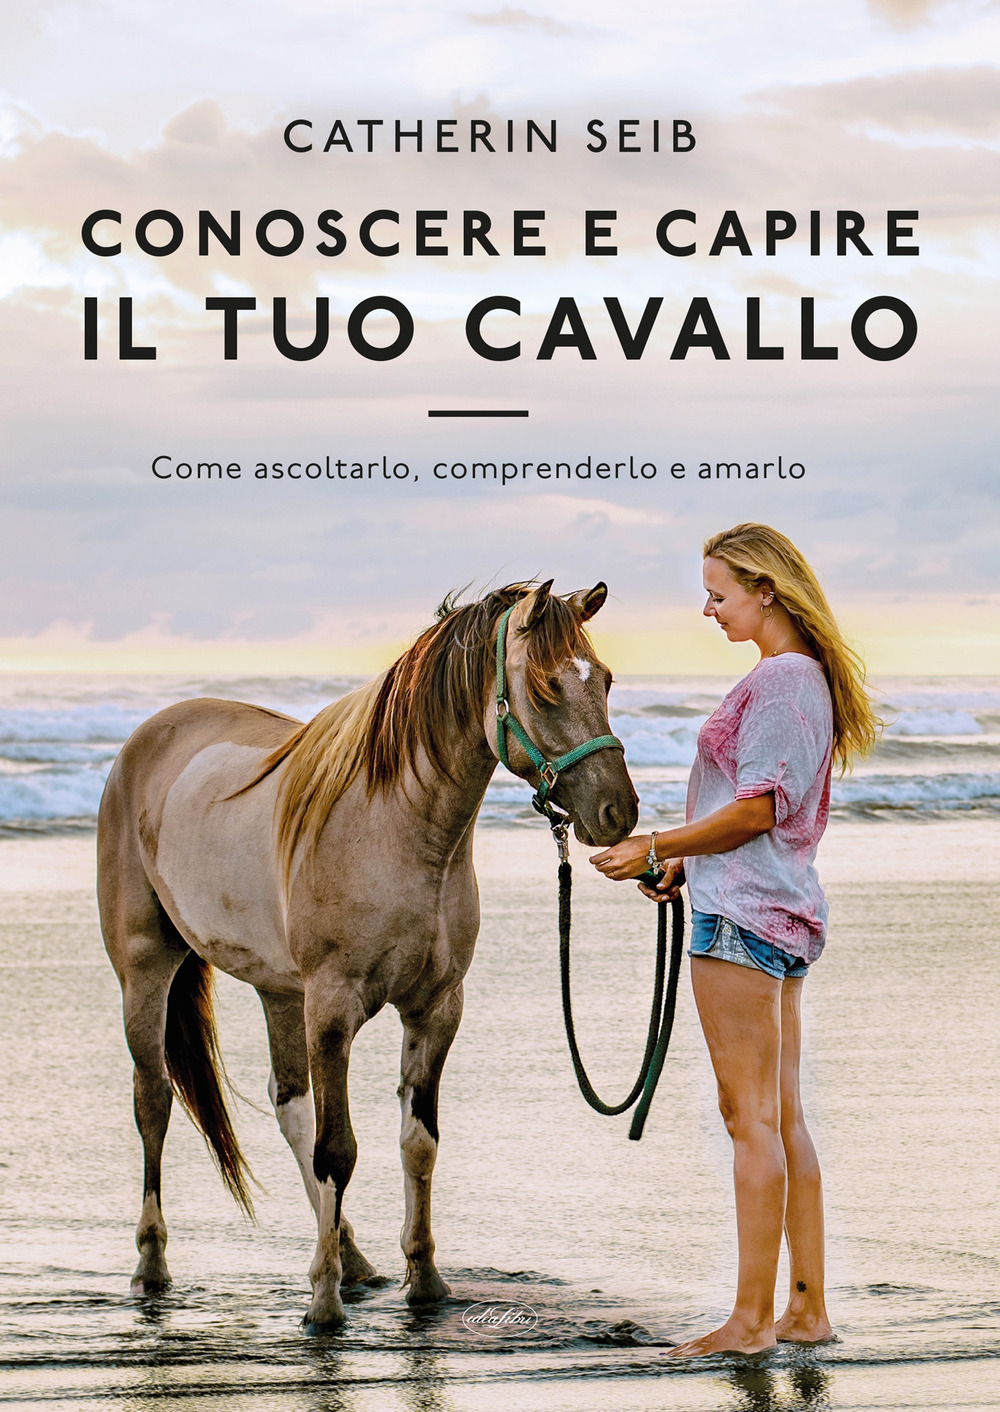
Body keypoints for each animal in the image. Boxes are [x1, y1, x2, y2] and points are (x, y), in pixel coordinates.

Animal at [97, 579, 638, 1329]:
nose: (619, 812)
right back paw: (153, 1265)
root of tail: (146, 740)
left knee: (288, 1104)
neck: (397, 830)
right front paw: (321, 1305)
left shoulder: (436, 1009)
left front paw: (424, 1282)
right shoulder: (333, 1008)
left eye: (606, 679)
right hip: (146, 971)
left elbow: (417, 1143)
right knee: (154, 1101)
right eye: (547, 686)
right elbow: (339, 1150)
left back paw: (352, 1258)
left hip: (278, 990)